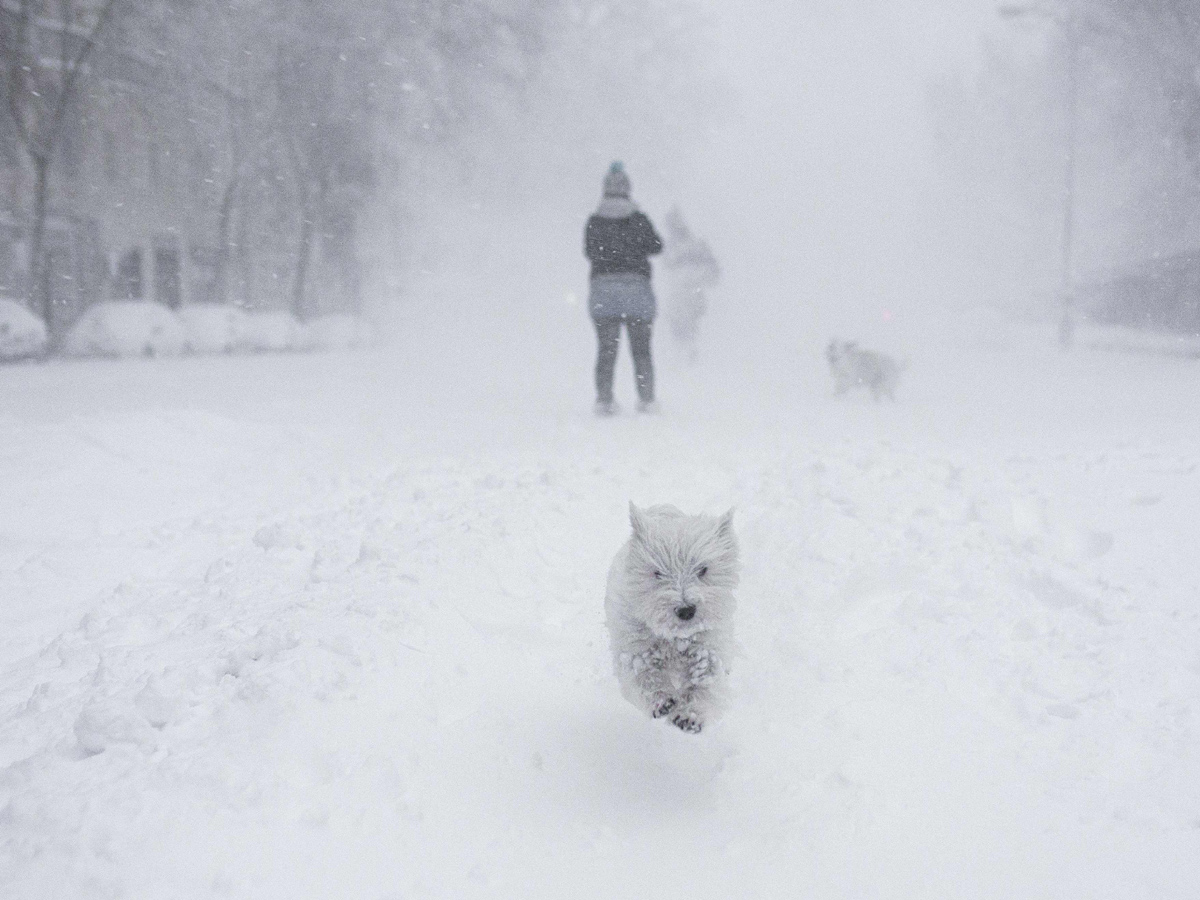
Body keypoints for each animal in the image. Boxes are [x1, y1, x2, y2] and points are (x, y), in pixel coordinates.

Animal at [604, 504, 734, 734]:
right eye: (657, 572)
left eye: (703, 569)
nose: (686, 611)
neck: (675, 639)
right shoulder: (634, 650)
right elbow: (643, 676)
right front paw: (661, 702)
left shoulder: (709, 648)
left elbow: (705, 681)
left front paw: (689, 715)